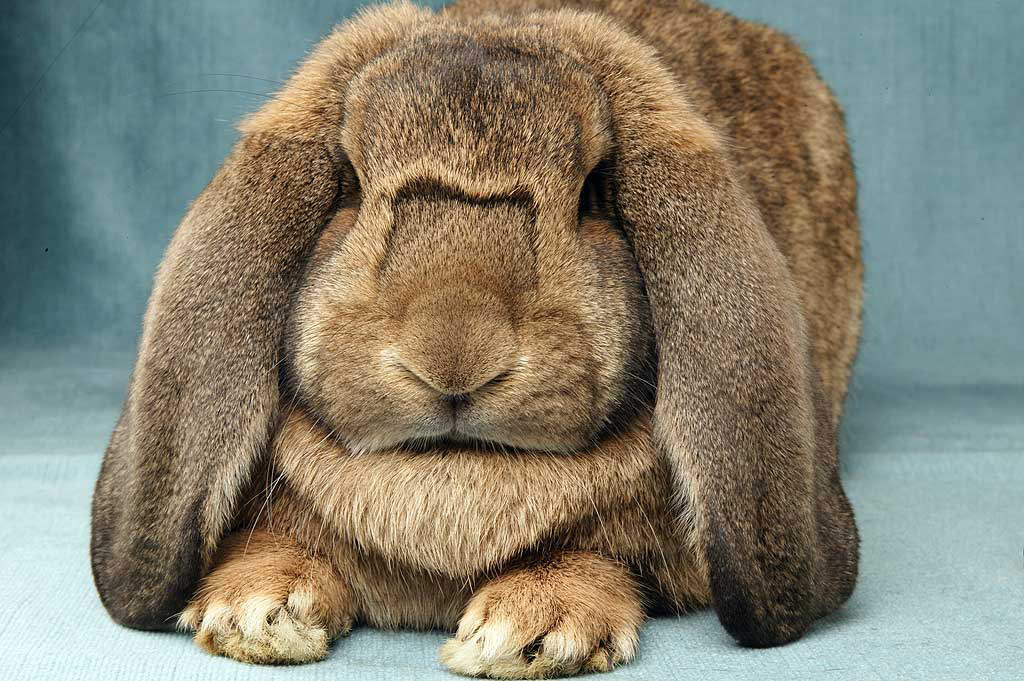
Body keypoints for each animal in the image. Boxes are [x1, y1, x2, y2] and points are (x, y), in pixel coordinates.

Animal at [91, 0, 863, 678]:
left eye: (594, 192)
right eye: (348, 183)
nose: (454, 354)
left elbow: (596, 560)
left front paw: (529, 629)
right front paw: (255, 609)